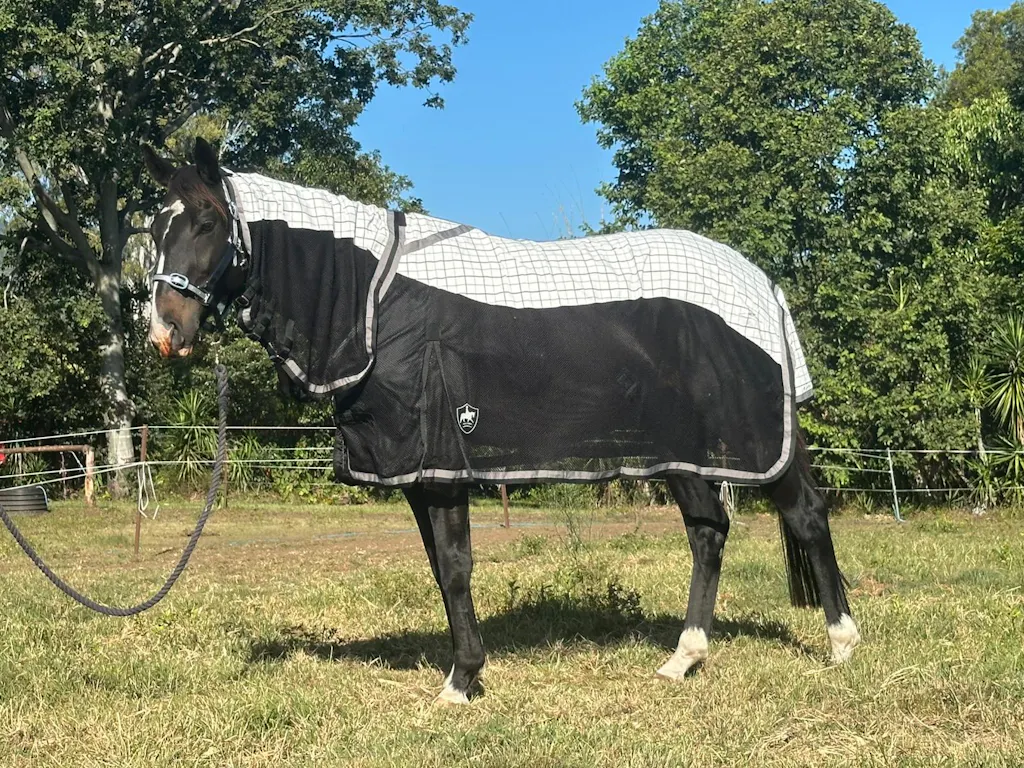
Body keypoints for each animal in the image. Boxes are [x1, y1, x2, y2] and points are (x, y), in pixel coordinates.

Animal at [142, 138, 860, 704]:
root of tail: (762, 285)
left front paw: (462, 681)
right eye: (154, 230)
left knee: (805, 516)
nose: (164, 334)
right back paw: (683, 658)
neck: (373, 298)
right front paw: (464, 669)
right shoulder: (416, 473)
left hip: (752, 443)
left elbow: (457, 566)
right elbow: (439, 569)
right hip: (679, 452)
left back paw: (841, 645)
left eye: (207, 223)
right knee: (708, 532)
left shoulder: (441, 468)